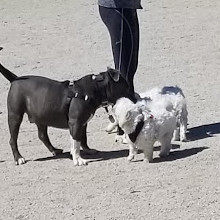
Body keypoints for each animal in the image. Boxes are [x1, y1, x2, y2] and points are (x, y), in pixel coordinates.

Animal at [0, 61, 136, 165]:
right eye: (127, 87)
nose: (135, 98)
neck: (95, 87)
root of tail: (15, 79)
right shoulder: (75, 123)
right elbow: (76, 142)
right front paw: (78, 159)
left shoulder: (83, 123)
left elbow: (82, 138)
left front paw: (88, 150)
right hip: (15, 116)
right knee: (13, 139)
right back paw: (18, 158)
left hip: (41, 116)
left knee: (42, 135)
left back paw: (54, 150)